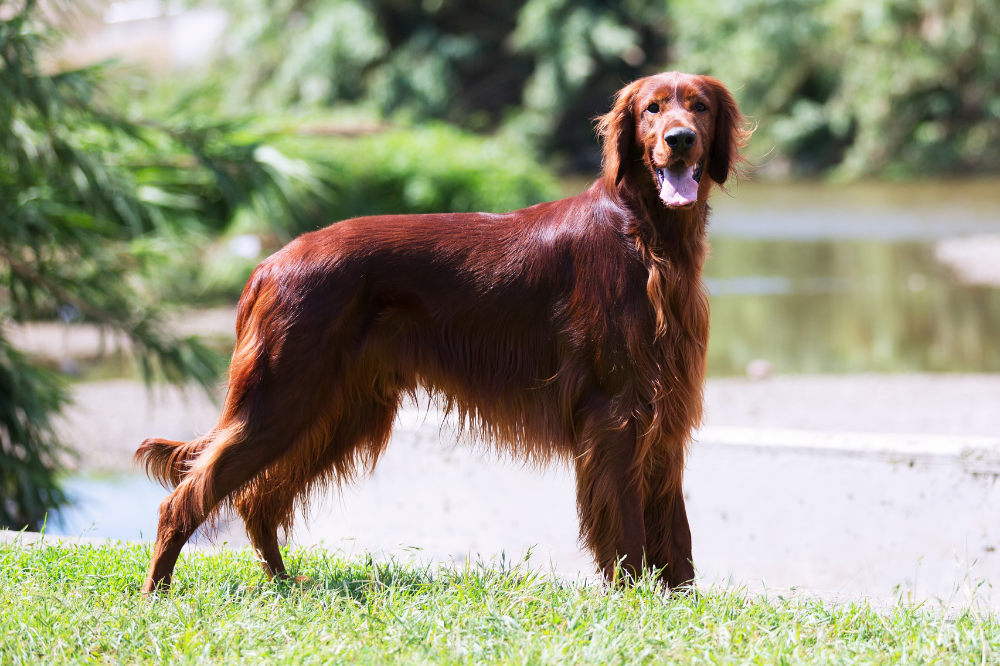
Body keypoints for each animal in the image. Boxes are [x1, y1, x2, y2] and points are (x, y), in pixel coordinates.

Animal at [139, 72, 752, 592]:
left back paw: (284, 583)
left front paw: (679, 603)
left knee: (256, 501)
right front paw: (631, 599)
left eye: (699, 106)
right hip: (283, 400)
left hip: (337, 411)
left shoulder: (665, 409)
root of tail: (268, 263)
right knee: (187, 497)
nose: (679, 140)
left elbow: (676, 531)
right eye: (652, 108)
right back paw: (157, 594)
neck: (646, 238)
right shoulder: (615, 410)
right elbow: (626, 528)